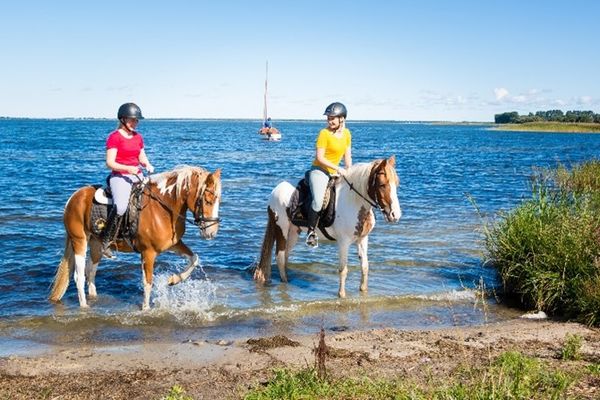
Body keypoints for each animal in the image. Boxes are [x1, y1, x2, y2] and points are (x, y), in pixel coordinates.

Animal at [49, 166, 221, 310]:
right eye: (207, 201)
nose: (211, 232)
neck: (163, 208)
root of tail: (74, 197)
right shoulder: (148, 252)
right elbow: (147, 282)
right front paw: (146, 309)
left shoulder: (174, 244)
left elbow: (194, 258)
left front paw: (173, 280)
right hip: (79, 241)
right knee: (79, 276)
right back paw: (84, 306)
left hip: (96, 245)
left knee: (90, 270)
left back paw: (94, 298)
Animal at [254, 156, 400, 296]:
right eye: (382, 184)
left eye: (396, 184)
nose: (395, 215)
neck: (354, 201)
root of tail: (275, 190)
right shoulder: (343, 242)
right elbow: (343, 269)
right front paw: (341, 295)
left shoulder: (362, 239)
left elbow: (364, 266)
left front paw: (363, 291)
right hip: (282, 228)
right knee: (280, 256)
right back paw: (285, 283)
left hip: (293, 231)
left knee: (285, 256)